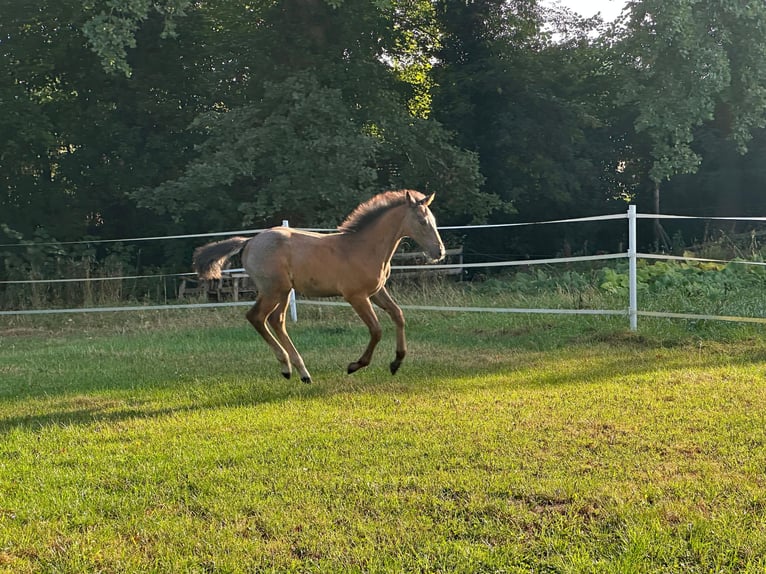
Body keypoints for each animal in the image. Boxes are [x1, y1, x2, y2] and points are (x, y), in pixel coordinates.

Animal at [192, 189, 445, 384]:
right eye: (422, 222)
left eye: (434, 220)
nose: (439, 252)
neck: (364, 247)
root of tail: (249, 241)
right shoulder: (356, 296)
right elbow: (376, 330)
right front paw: (355, 365)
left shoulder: (376, 292)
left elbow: (398, 315)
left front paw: (396, 362)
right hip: (274, 290)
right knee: (256, 317)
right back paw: (288, 367)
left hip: (283, 292)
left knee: (275, 320)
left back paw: (300, 372)